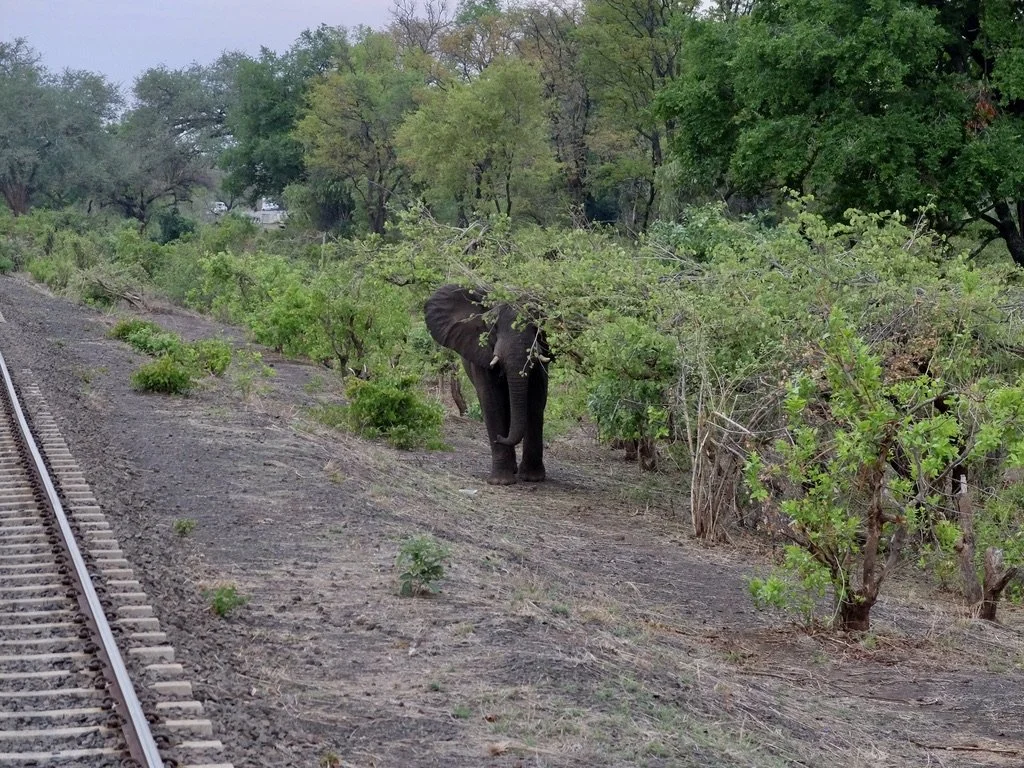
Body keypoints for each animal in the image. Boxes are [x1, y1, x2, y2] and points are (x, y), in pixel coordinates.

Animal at [425, 284, 551, 485]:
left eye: (536, 326)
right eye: (494, 326)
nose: (500, 438)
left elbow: (535, 400)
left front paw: (532, 478)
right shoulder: (479, 351)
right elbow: (492, 401)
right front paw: (501, 482)